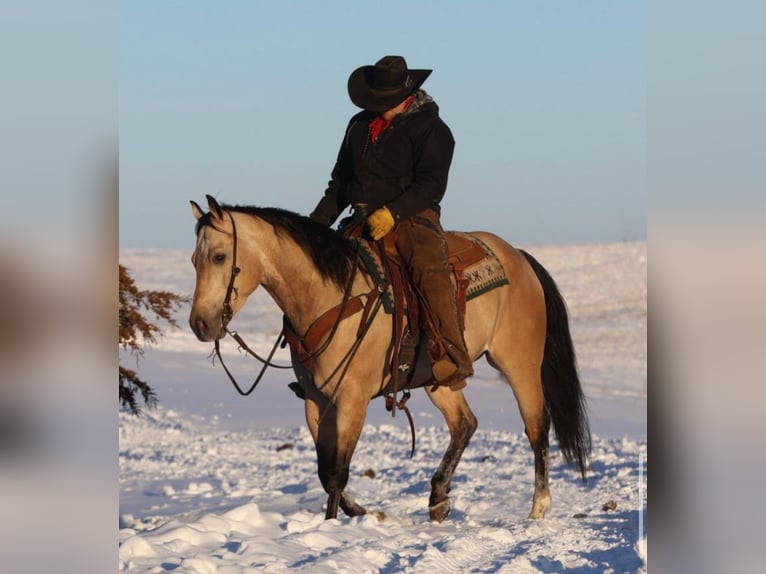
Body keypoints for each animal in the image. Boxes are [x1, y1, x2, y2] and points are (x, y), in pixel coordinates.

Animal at [189, 196, 592, 524]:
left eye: (220, 256)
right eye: (194, 260)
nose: (200, 324)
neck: (328, 297)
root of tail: (519, 256)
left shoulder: (352, 400)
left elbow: (337, 471)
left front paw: (333, 525)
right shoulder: (315, 402)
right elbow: (324, 470)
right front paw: (360, 511)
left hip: (519, 364)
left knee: (537, 427)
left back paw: (538, 508)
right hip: (440, 379)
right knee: (465, 424)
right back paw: (438, 499)